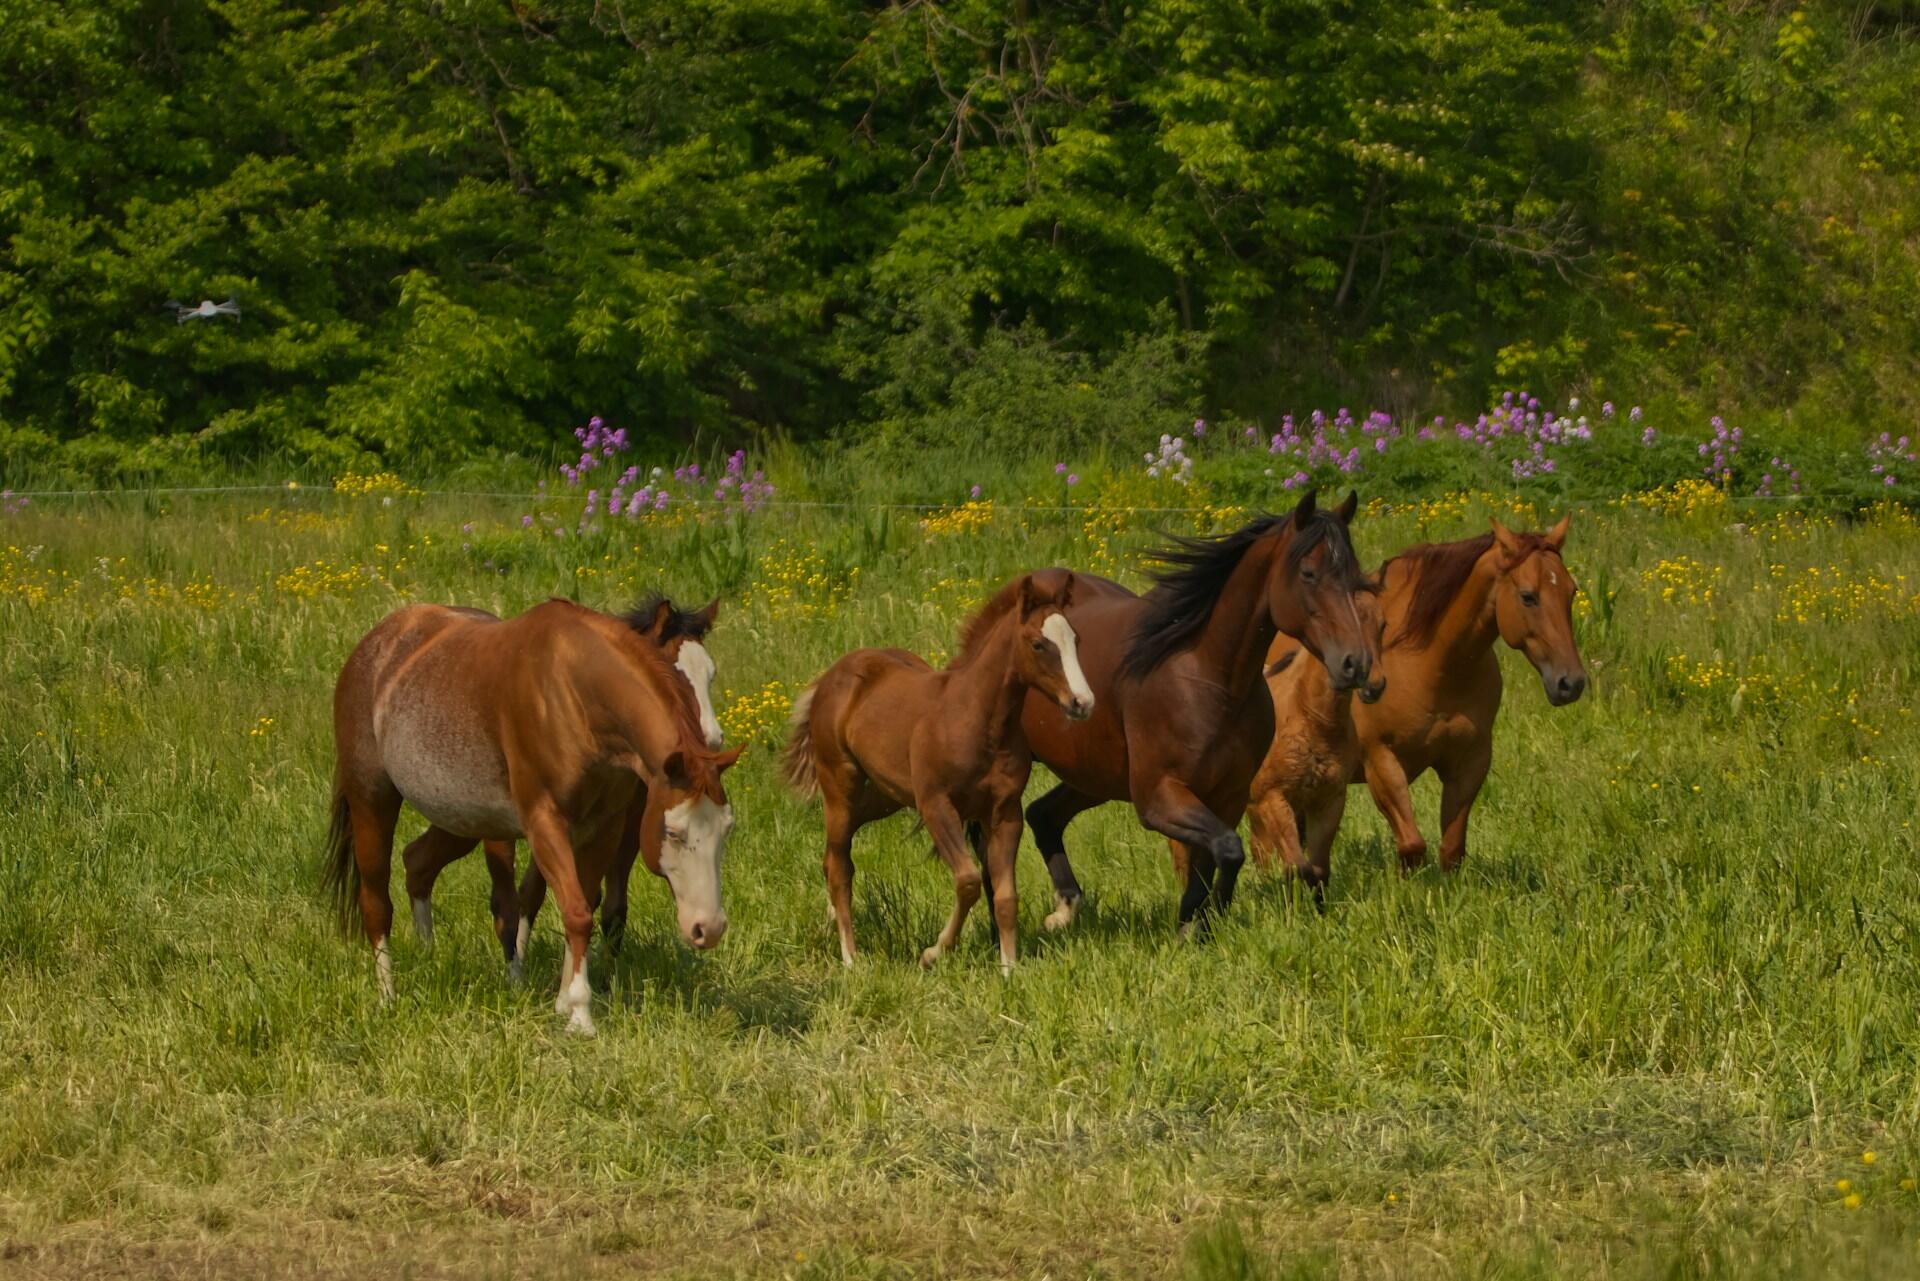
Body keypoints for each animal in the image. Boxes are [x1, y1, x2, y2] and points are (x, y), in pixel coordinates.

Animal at [322, 597, 743, 1033]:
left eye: (726, 830)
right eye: (674, 832)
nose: (708, 928)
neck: (573, 696)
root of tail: (377, 643)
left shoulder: (604, 829)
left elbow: (583, 905)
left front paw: (565, 1000)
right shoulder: (546, 823)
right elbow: (573, 912)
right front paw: (579, 1015)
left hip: (462, 818)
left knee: (418, 862)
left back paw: (428, 954)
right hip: (372, 800)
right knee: (377, 901)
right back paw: (388, 995)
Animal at [783, 570, 1094, 972]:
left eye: (1075, 639)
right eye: (1039, 644)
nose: (1082, 702)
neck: (980, 720)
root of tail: (831, 677)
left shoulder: (1005, 812)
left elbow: (1006, 896)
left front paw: (1009, 968)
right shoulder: (936, 805)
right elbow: (969, 881)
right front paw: (933, 952)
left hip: (884, 796)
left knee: (832, 856)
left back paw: (829, 920)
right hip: (841, 786)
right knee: (840, 865)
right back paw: (850, 958)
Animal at [1017, 490, 1381, 933]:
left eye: (1354, 576)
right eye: (1309, 573)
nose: (1355, 664)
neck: (1209, 677)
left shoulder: (1227, 796)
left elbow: (1216, 858)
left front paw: (1202, 922)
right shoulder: (1159, 799)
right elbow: (1227, 849)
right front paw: (1193, 917)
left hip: (1092, 776)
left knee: (1043, 814)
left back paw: (1065, 909)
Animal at [1245, 516, 1586, 889]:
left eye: (1571, 591)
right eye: (1528, 596)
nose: (1571, 682)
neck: (1433, 667)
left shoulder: (1470, 761)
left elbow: (1451, 849)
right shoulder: (1381, 761)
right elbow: (1412, 845)